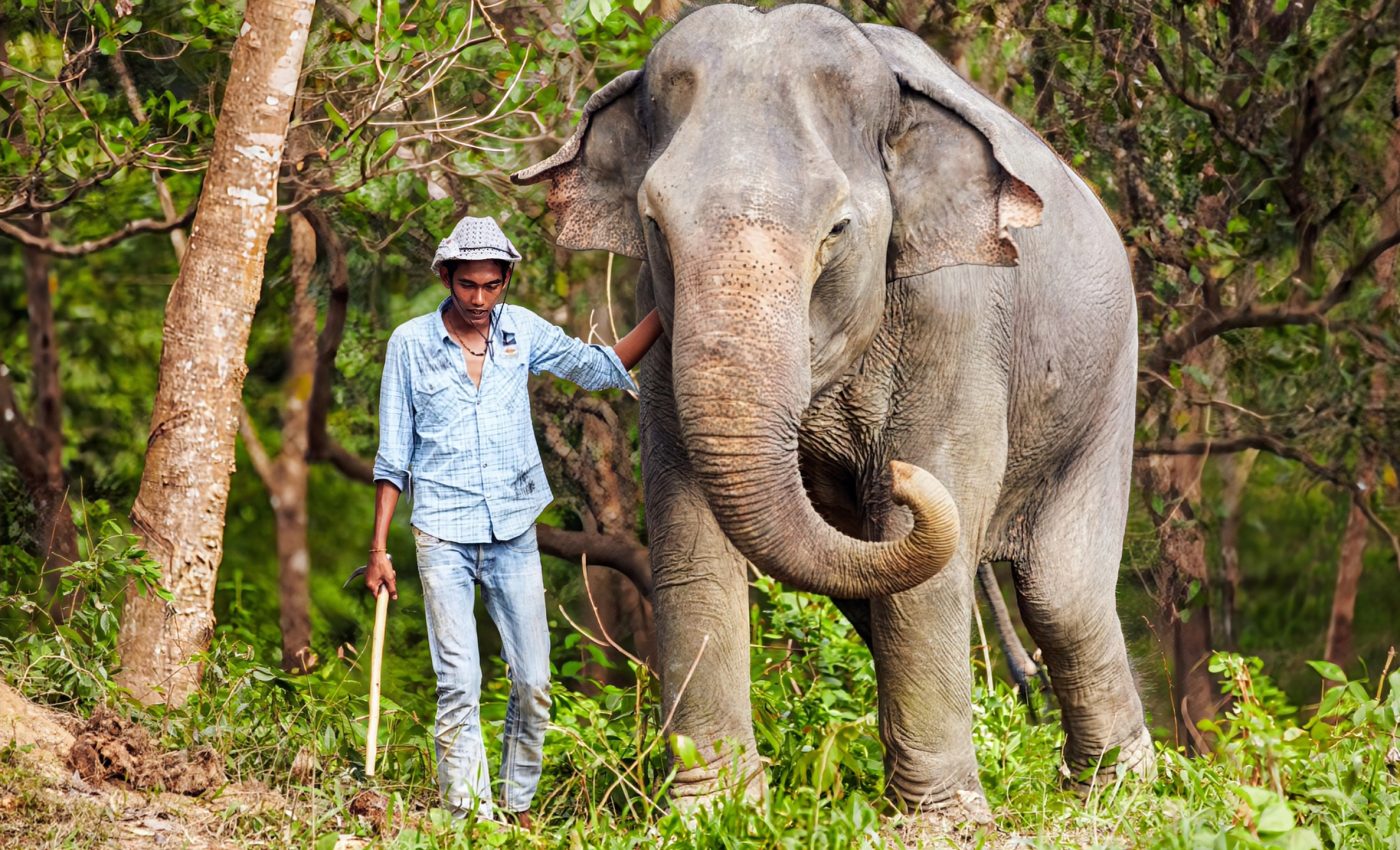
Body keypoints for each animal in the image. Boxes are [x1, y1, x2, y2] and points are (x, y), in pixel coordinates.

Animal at [514, 2, 1153, 821]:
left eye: (837, 231)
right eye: (654, 224)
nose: (900, 480)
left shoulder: (960, 311)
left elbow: (932, 532)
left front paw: (941, 824)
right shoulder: (658, 315)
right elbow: (688, 527)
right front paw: (713, 811)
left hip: (1106, 384)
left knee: (1061, 596)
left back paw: (1121, 794)